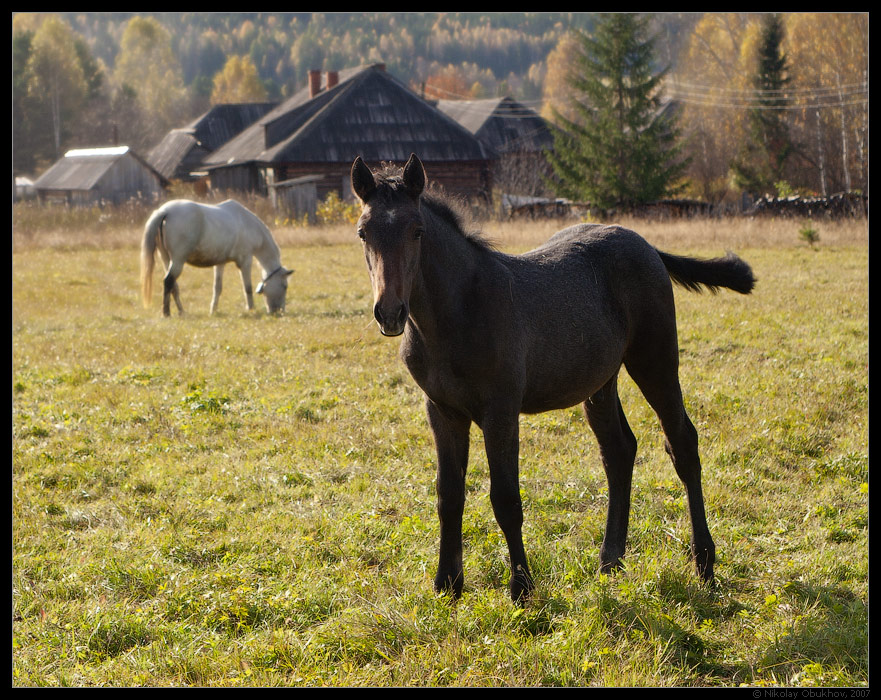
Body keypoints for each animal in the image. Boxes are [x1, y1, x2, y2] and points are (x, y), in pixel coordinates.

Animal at [140, 198, 292, 316]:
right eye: (285, 286)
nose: (279, 311)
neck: (246, 223)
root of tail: (164, 212)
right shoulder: (245, 261)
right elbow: (247, 288)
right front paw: (251, 309)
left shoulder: (220, 263)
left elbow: (217, 288)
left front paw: (213, 310)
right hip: (178, 261)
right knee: (168, 281)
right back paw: (166, 313)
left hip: (166, 259)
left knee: (173, 286)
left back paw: (181, 312)